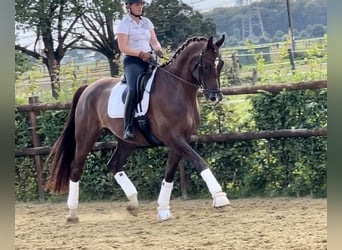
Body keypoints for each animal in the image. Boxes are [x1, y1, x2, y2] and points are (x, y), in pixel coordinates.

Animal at [46, 34, 230, 222]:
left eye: (220, 64)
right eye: (206, 65)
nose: (215, 97)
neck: (177, 89)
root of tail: (88, 88)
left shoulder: (181, 140)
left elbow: (170, 173)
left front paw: (163, 210)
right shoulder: (173, 138)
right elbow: (199, 161)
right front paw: (220, 197)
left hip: (127, 142)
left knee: (114, 165)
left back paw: (133, 204)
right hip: (86, 136)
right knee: (76, 167)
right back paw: (72, 213)